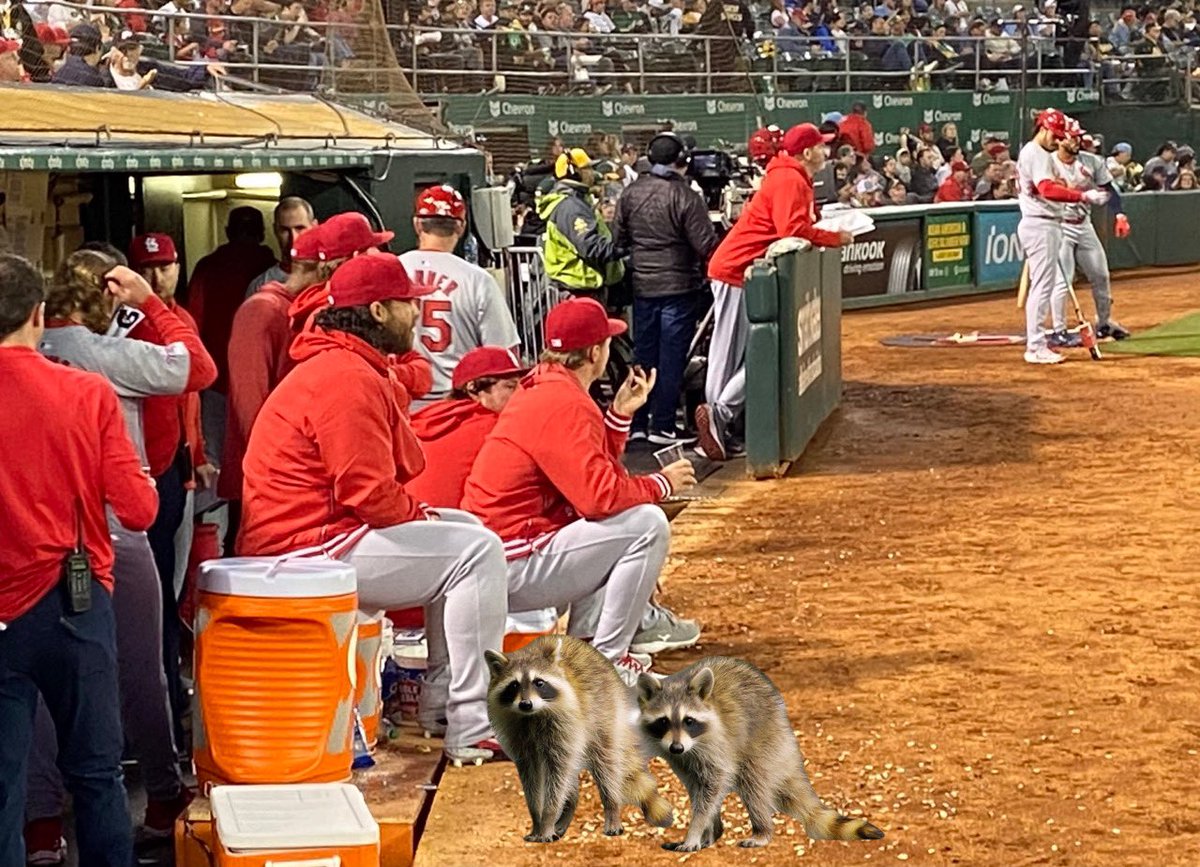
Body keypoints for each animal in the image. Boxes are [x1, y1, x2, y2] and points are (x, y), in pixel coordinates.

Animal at [487, 629, 676, 840]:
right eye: (514, 685)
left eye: (539, 682)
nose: (525, 704)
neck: (531, 716)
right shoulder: (518, 737)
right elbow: (531, 780)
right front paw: (537, 821)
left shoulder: (565, 725)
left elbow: (557, 778)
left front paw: (547, 819)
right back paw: (567, 812)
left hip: (603, 717)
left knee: (606, 767)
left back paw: (611, 808)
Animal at [638, 658, 883, 845]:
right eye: (663, 721)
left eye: (688, 721)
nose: (676, 747)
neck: (692, 744)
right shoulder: (681, 760)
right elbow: (699, 788)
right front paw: (708, 829)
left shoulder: (717, 745)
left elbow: (715, 784)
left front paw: (696, 830)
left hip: (764, 741)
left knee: (753, 783)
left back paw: (762, 830)